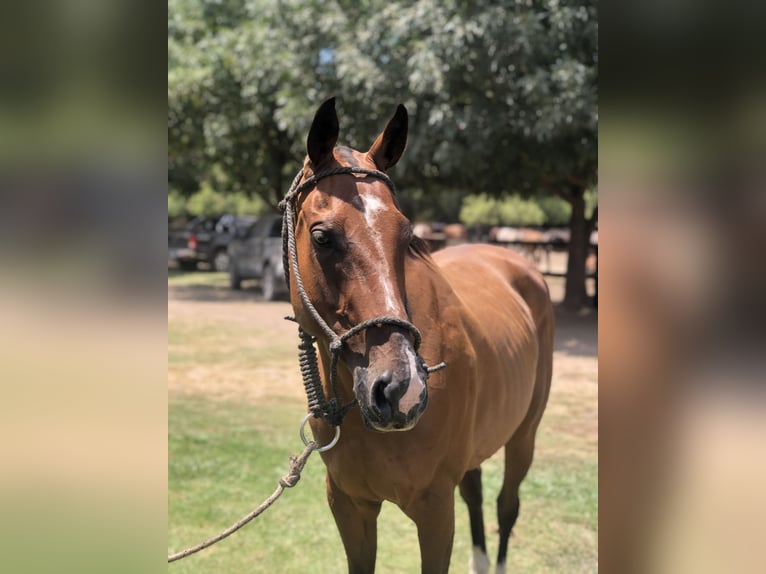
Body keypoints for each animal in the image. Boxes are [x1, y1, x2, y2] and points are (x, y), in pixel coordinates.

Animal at [284, 97, 552, 572]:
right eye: (322, 237)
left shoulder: (434, 510)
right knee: (476, 493)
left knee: (506, 506)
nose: (399, 389)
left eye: (408, 236)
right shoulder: (349, 506)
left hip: (524, 435)